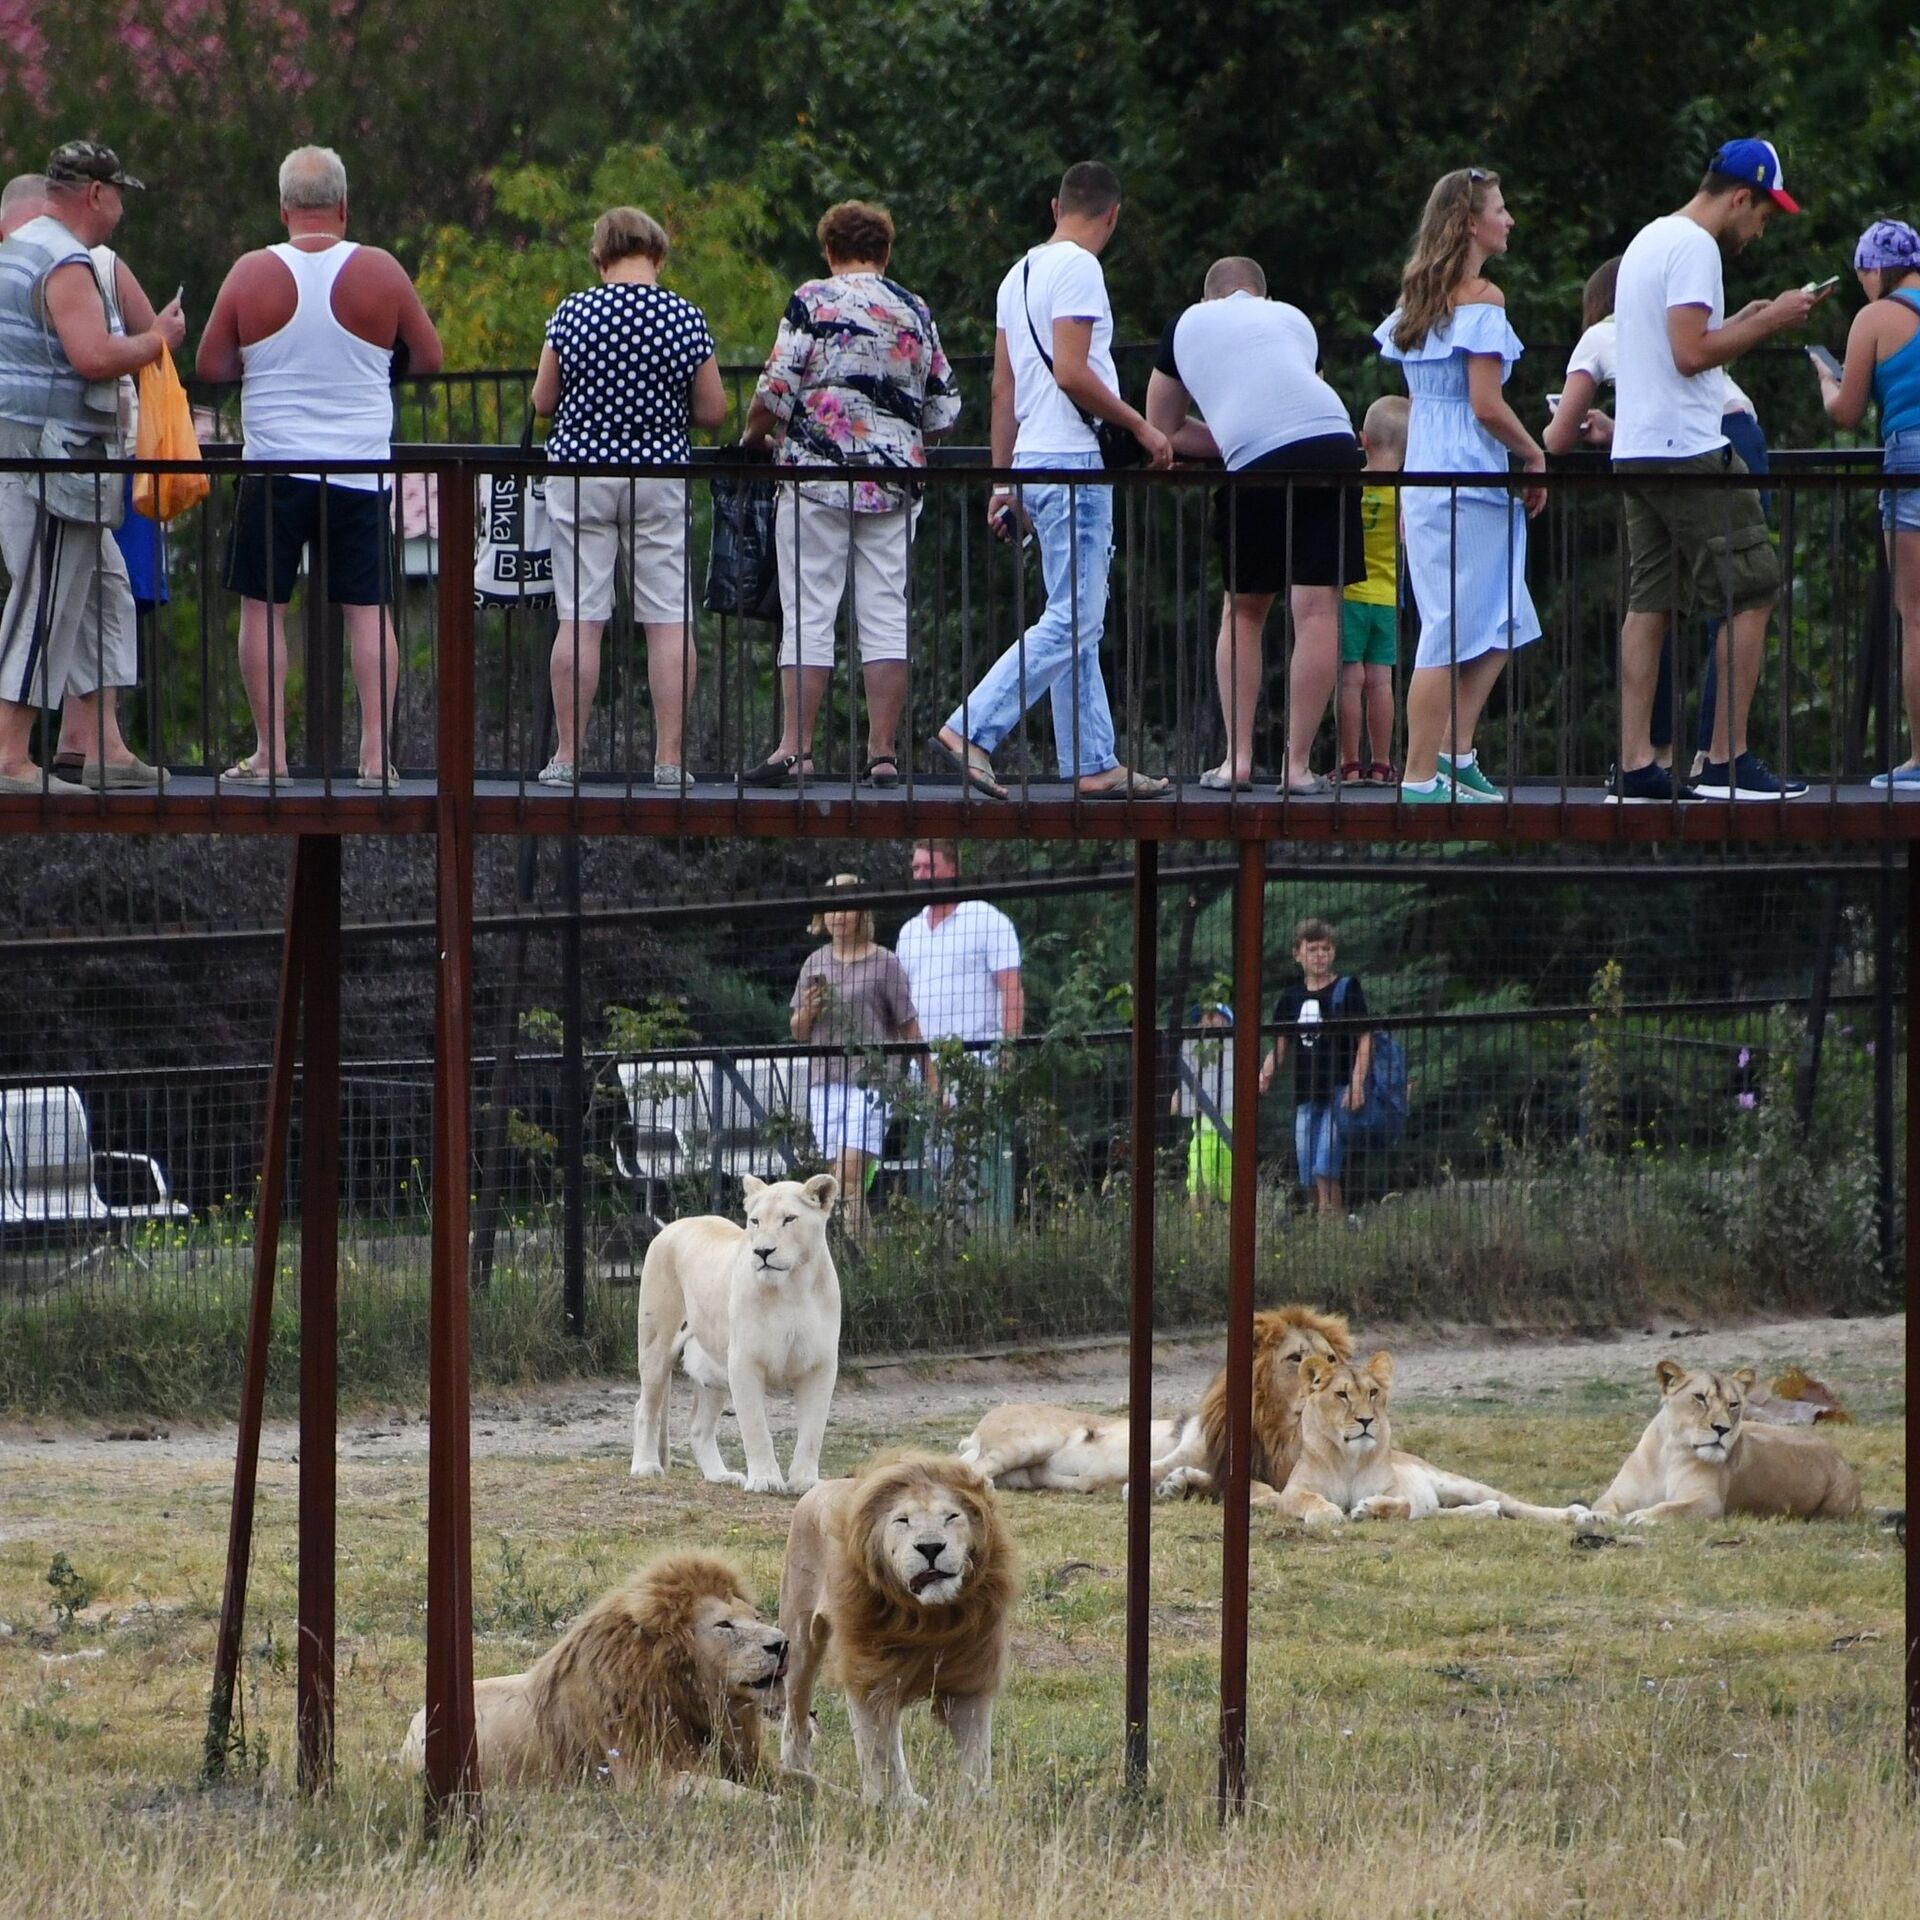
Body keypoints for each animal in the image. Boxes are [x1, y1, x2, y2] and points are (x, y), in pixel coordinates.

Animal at [401, 1543, 791, 1797]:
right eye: (724, 1624)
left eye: (757, 1617)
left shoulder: (745, 1758)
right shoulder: (642, 1776)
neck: (689, 1696)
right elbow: (728, 1792)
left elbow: (798, 1777)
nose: (783, 1643)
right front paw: (777, 1807)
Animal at [629, 1167, 840, 1497]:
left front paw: (805, 1482)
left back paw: (720, 1475)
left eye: (789, 1219)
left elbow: (813, 1431)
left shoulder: (820, 1365)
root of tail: (672, 1226)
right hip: (656, 1347)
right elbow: (756, 1428)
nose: (763, 1251)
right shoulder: (744, 1362)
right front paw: (765, 1480)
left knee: (698, 1427)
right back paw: (645, 1466)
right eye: (755, 1221)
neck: (792, 1288)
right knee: (644, 1407)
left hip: (712, 1370)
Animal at [779, 1459, 1021, 1804]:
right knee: (796, 1718)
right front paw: (879, 1804)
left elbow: (976, 1757)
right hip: (801, 1643)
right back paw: (797, 1773)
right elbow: (874, 1751)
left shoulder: (970, 1679)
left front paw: (976, 1806)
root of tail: (819, 1487)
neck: (928, 1617)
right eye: (902, 1520)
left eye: (951, 1516)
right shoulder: (865, 1676)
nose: (930, 1547)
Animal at [1267, 1351, 1582, 1528]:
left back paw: (1573, 1514)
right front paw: (1327, 1513)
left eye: (1373, 1392)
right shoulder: (1291, 1491)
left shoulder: (1396, 1490)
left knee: (1513, 1504)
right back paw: (1485, 1512)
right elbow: (1308, 1499)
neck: (1350, 1458)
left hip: (1458, 1483)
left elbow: (1403, 1505)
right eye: (1342, 1395)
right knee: (1449, 1512)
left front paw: (1367, 1509)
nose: (1366, 1420)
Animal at [1589, 1359, 1858, 1520]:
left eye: (1733, 1404)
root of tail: (1838, 1454)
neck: (1670, 1453)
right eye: (1699, 1397)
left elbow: (1671, 1508)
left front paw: (1641, 1516)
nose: (1722, 1428)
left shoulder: (1709, 1503)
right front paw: (1597, 1518)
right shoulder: (1615, 1496)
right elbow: (1602, 1506)